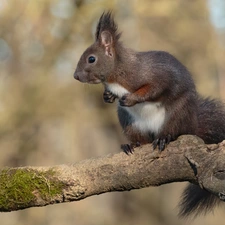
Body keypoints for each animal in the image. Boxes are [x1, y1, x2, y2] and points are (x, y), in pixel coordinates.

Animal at [74, 11, 225, 218]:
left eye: (91, 59)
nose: (75, 76)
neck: (116, 76)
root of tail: (192, 124)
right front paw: (108, 96)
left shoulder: (154, 75)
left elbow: (153, 89)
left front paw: (131, 98)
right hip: (129, 121)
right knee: (142, 140)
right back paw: (132, 144)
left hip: (177, 114)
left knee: (173, 132)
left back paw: (164, 138)